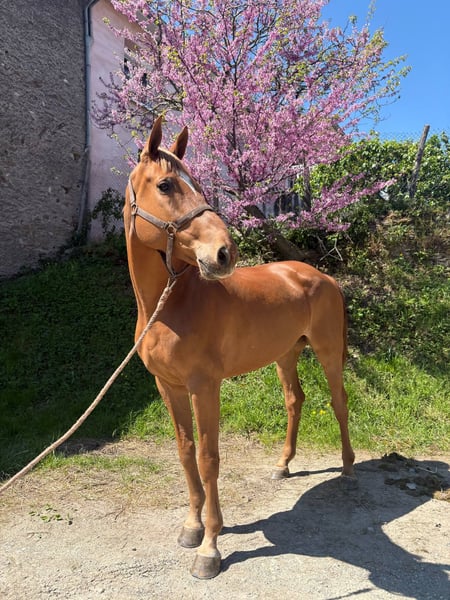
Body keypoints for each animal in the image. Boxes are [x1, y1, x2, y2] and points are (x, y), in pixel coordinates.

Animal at [124, 116, 356, 579]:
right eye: (165, 185)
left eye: (197, 184)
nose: (224, 253)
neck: (171, 304)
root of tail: (322, 276)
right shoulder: (168, 386)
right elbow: (186, 452)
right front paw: (191, 527)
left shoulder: (204, 386)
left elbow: (209, 458)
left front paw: (210, 548)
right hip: (286, 353)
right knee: (294, 399)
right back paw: (283, 466)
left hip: (325, 352)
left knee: (338, 401)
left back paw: (348, 468)